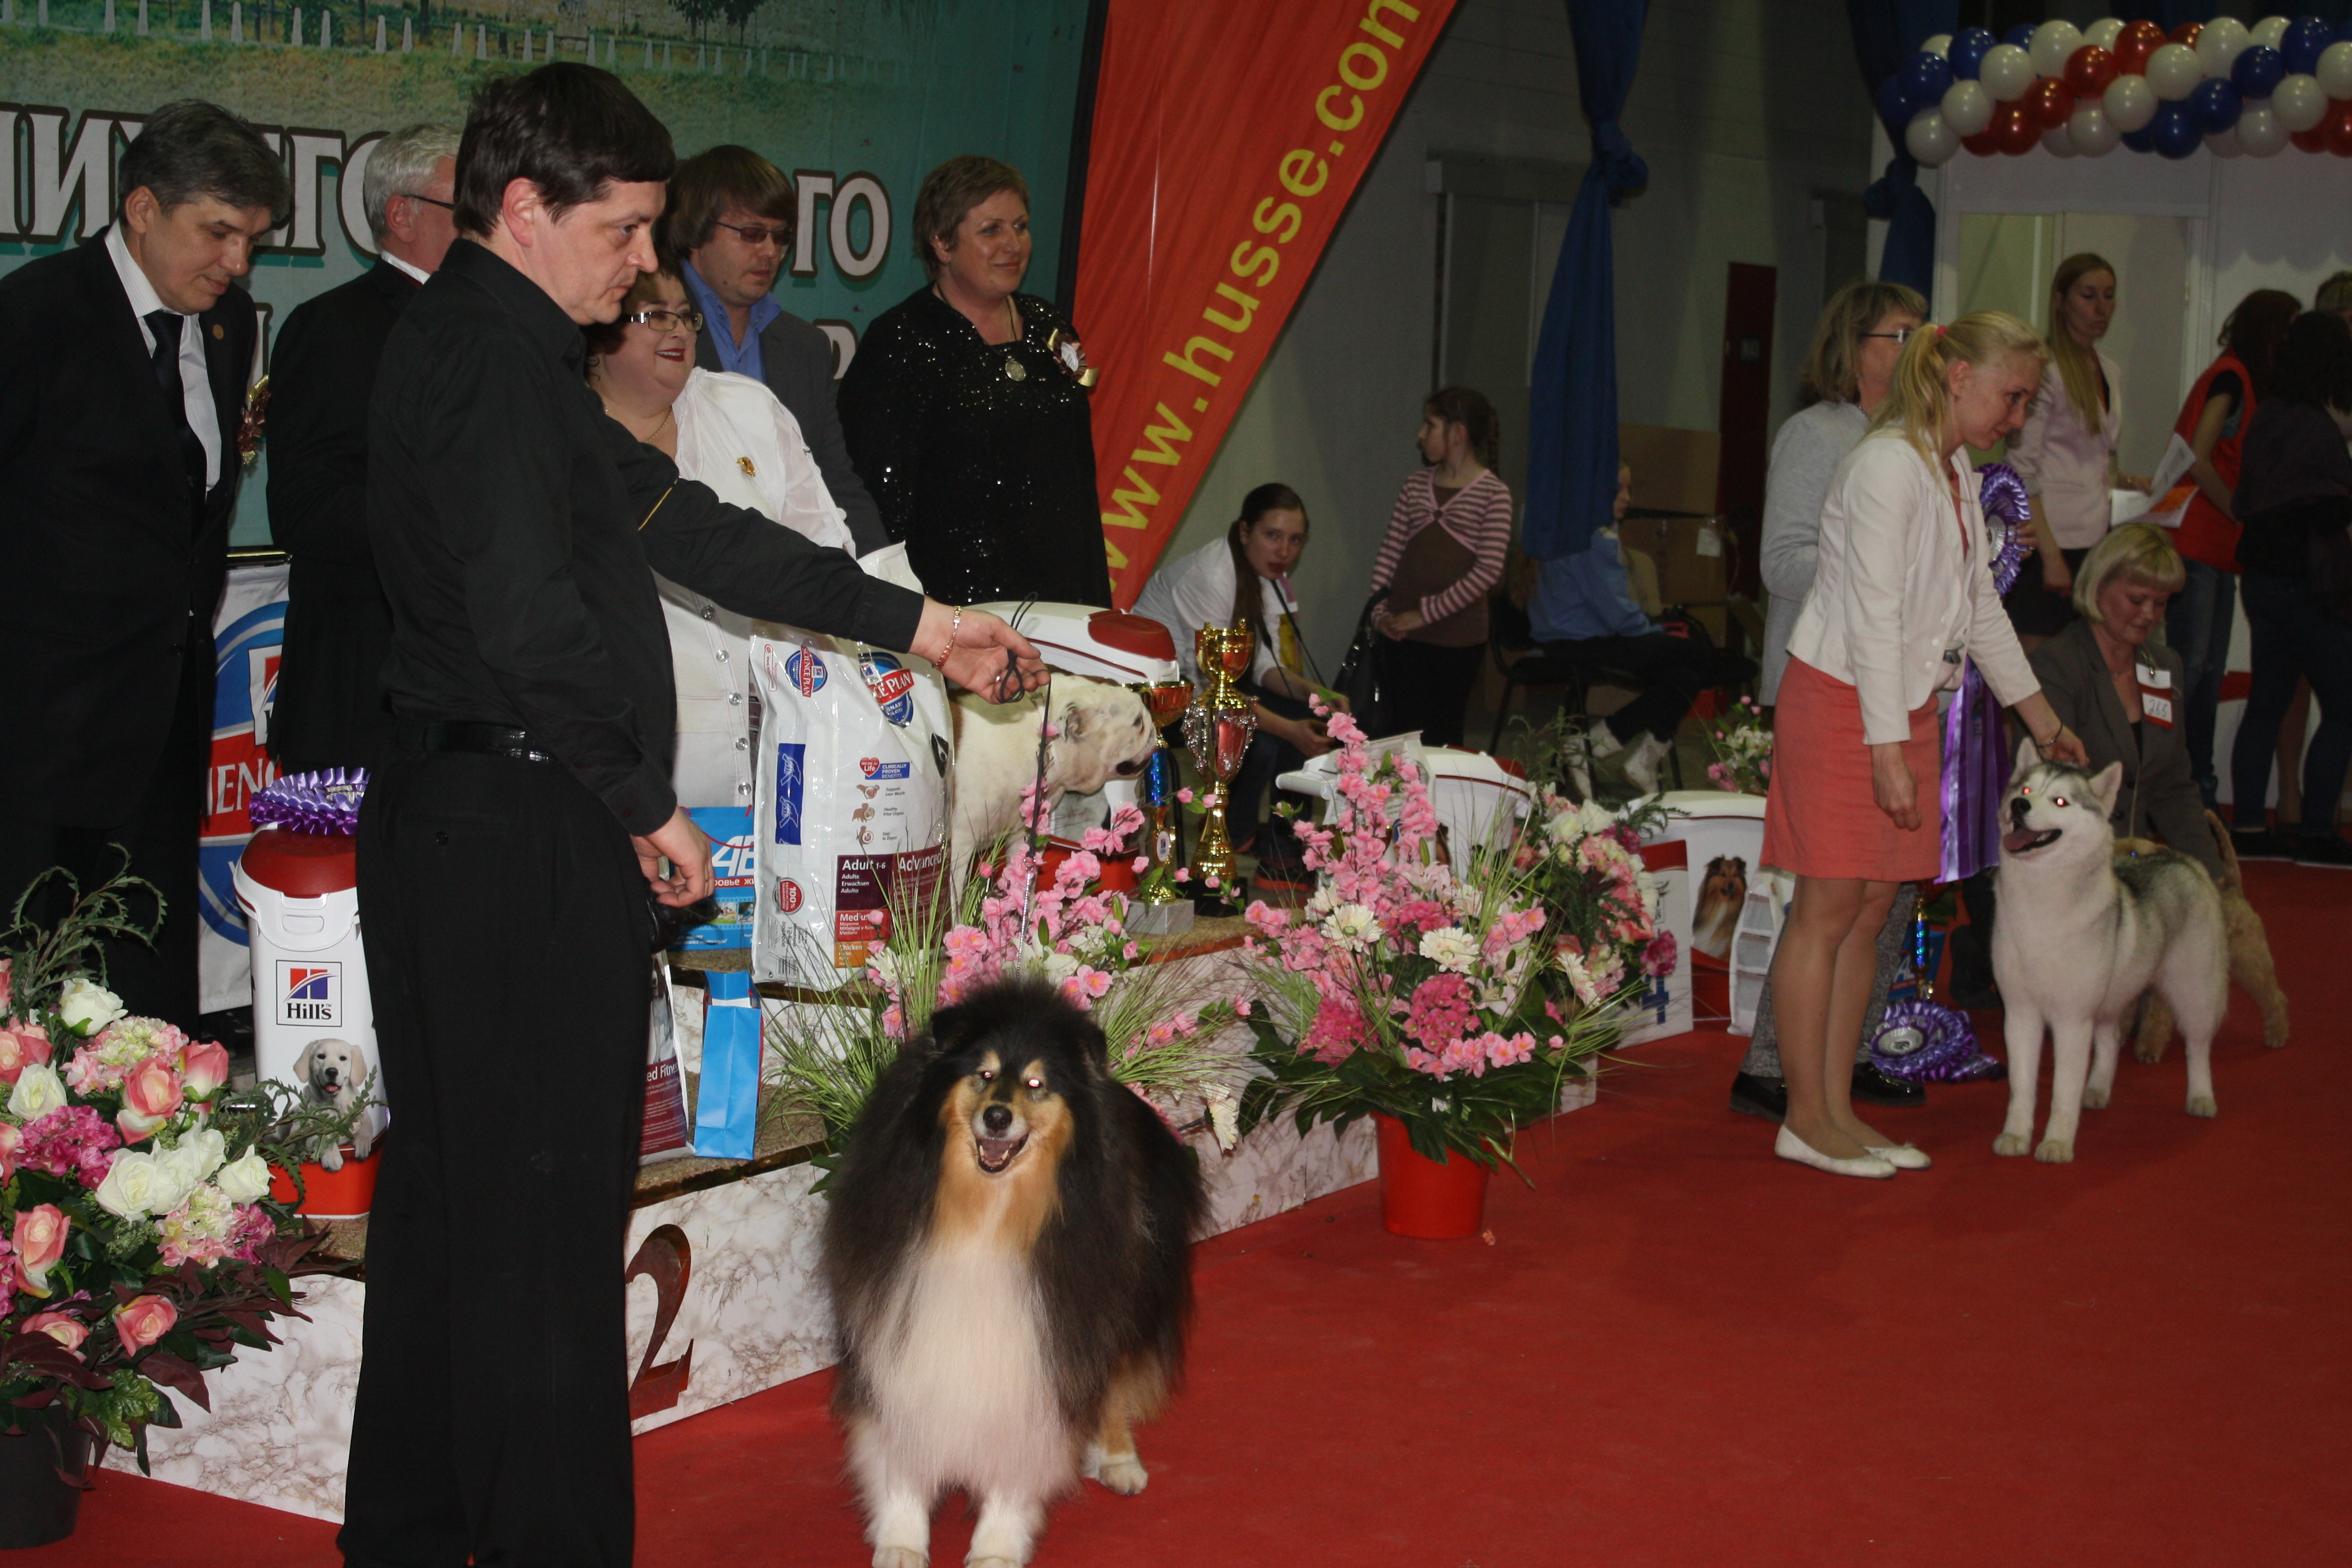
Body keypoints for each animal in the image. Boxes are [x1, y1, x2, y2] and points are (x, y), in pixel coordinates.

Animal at [296, 1036, 383, 1170]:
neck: (334, 1105)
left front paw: (363, 1146)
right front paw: (332, 1158)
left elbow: (365, 1130)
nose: (332, 1071)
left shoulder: (363, 1118)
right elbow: (323, 1137)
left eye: (343, 1058)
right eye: (321, 1056)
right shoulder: (307, 1134)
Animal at [821, 979, 1204, 1568]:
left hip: (1125, 1307)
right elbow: (901, 1459)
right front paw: (902, 1543)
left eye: (1035, 1084)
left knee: (1114, 1388)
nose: (998, 1117)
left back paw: (1119, 1461)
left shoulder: (1040, 1353)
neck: (986, 1215)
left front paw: (995, 1551)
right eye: (983, 1074)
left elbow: (1018, 1463)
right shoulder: (897, 1339)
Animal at [1991, 738, 2229, 1162]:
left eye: (2061, 801)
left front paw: (2056, 1143)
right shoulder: (2020, 1014)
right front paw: (2016, 1135)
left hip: (2194, 992)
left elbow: (2063, 1091)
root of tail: (2181, 857)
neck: (2039, 904)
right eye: (2026, 790)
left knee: (2198, 1048)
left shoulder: (2072, 1020)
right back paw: (2098, 1088)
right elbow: (2021, 1086)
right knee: (2110, 1041)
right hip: (2111, 998)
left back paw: (2201, 1097)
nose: (2019, 806)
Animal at [2119, 810, 2290, 1059]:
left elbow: (2156, 1019)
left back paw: (2277, 1034)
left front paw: (2149, 1050)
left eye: (2134, 852)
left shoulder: (2162, 986)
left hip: (2251, 961)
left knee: (2274, 997)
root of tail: (2233, 889)